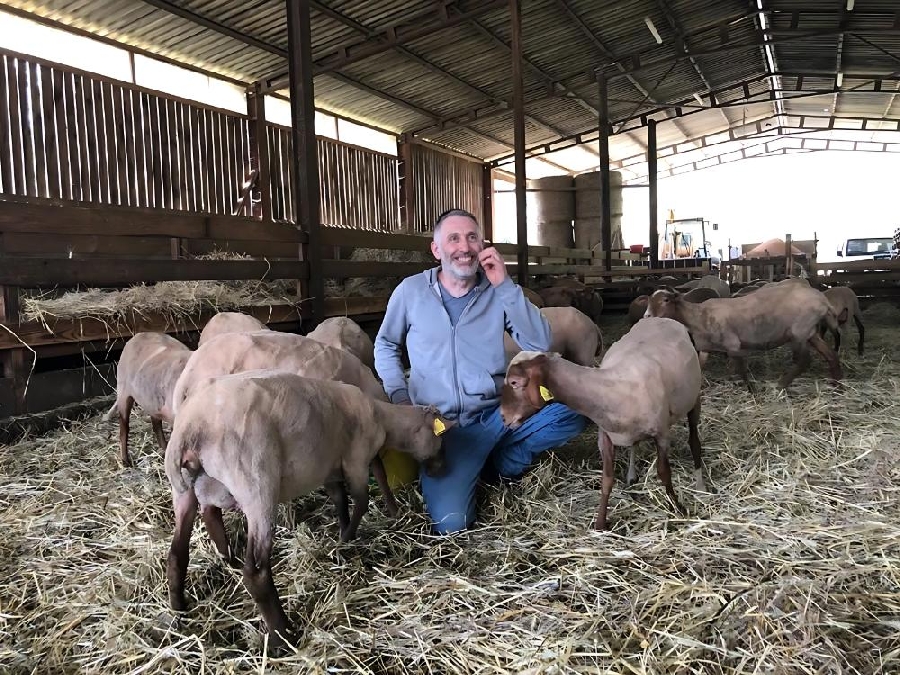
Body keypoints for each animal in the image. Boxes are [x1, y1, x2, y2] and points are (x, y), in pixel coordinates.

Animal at [104, 332, 191, 470]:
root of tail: (139, 334)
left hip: (151, 400)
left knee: (156, 424)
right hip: (123, 391)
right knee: (124, 427)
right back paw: (125, 461)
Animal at [163, 370, 450, 648]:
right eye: (441, 438)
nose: (440, 470)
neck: (382, 418)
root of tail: (191, 428)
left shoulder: (329, 467)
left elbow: (340, 499)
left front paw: (344, 530)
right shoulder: (355, 460)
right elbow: (363, 498)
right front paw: (346, 540)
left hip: (185, 491)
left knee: (179, 551)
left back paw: (181, 609)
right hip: (256, 483)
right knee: (256, 572)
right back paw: (283, 636)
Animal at [500, 316, 704, 532]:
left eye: (514, 382)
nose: (503, 417)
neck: (610, 389)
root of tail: (664, 318)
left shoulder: (662, 433)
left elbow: (664, 473)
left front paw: (678, 509)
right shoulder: (605, 437)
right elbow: (606, 480)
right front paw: (600, 524)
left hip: (694, 398)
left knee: (694, 439)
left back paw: (701, 484)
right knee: (634, 444)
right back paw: (632, 475)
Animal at [644, 282, 840, 390]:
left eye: (666, 300)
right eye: (648, 301)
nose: (646, 317)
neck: (698, 316)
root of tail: (824, 301)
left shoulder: (733, 345)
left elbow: (742, 370)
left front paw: (752, 389)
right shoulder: (705, 348)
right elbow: (701, 367)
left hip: (799, 331)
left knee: (805, 360)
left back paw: (782, 384)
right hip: (810, 332)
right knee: (830, 354)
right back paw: (837, 384)